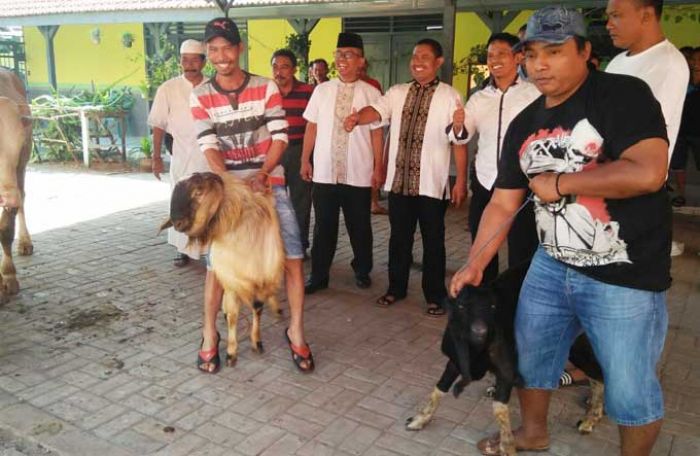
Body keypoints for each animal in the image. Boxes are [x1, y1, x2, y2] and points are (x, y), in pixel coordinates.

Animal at [161, 172, 284, 366]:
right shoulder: (232, 281)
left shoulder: (261, 278)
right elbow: (233, 315)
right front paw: (231, 353)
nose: (177, 223)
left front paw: (257, 343)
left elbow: (257, 308)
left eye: (198, 192)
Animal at [408, 262, 604, 456]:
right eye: (461, 306)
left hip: (578, 345)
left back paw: (591, 420)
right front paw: (419, 420)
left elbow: (499, 409)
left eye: (493, 307)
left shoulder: (506, 369)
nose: (480, 331)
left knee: (599, 374)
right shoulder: (456, 360)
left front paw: (507, 446)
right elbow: (440, 387)